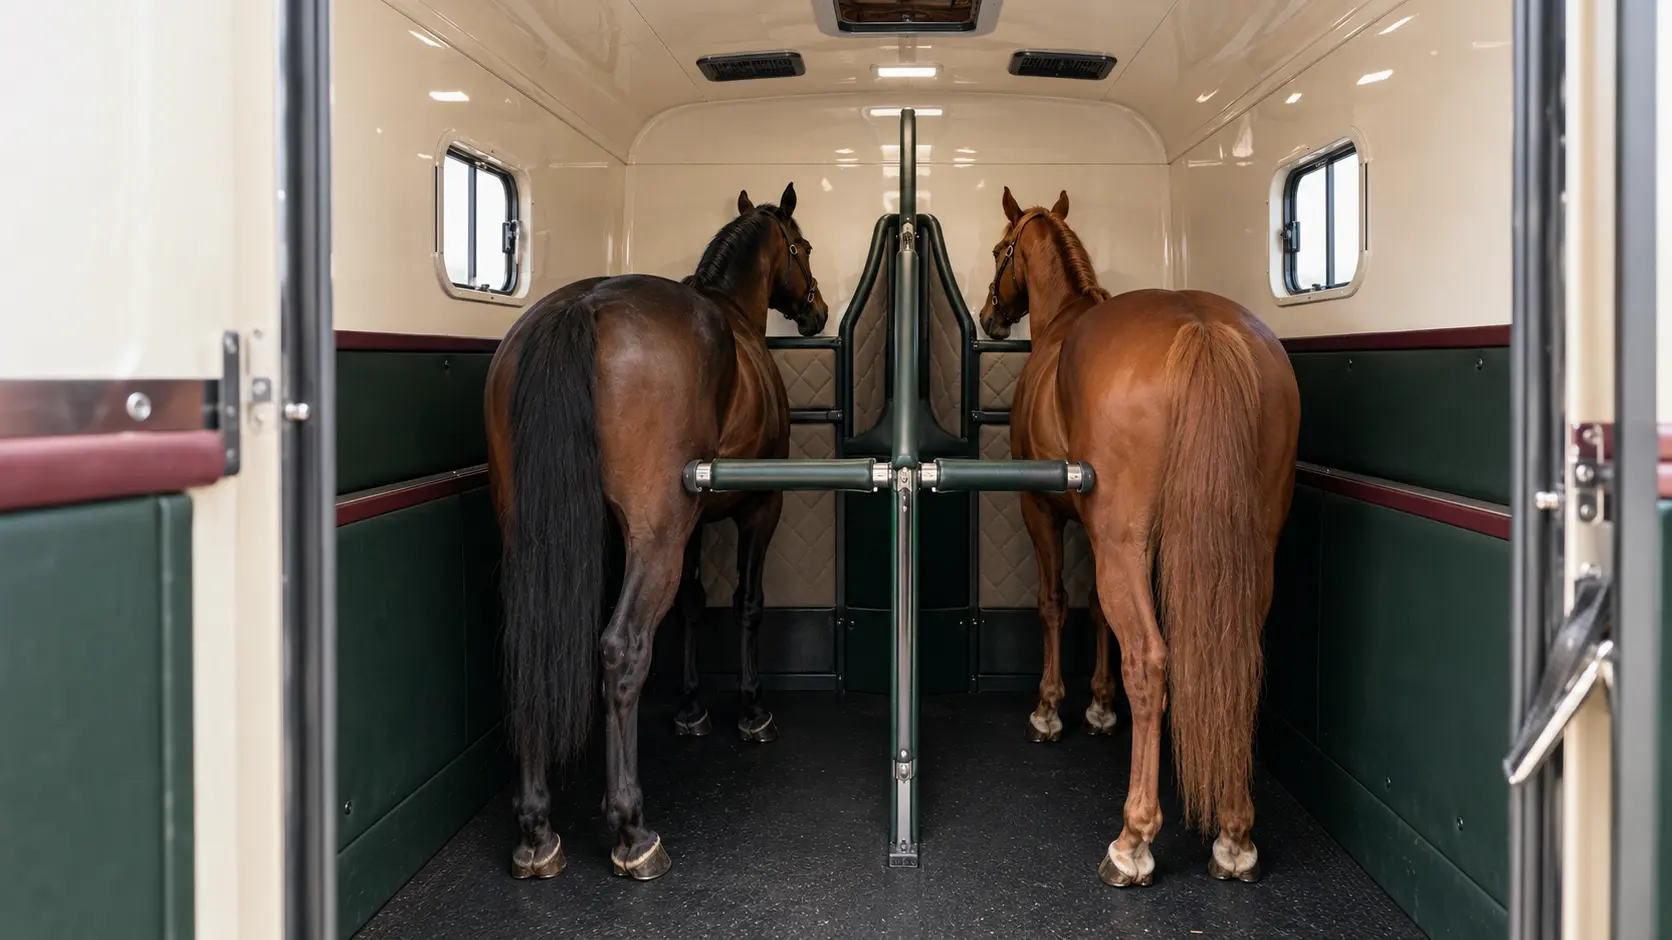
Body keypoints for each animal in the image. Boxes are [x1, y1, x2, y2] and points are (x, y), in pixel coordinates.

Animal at [484, 182, 829, 882]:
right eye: (802, 246)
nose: (817, 310)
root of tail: (580, 308)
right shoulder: (758, 509)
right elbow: (746, 605)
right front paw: (750, 711)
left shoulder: (695, 525)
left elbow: (694, 605)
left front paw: (693, 707)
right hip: (656, 536)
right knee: (622, 648)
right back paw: (631, 830)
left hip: (539, 536)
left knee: (530, 645)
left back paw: (536, 831)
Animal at [978, 187, 1300, 887]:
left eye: (999, 249)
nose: (991, 315)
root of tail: (1202, 329)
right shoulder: (1098, 535)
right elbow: (1097, 614)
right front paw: (1099, 707)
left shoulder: (1046, 514)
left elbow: (1055, 605)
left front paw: (1051, 710)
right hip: (1250, 551)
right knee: (1238, 660)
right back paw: (1235, 835)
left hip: (1123, 546)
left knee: (1151, 664)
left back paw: (1133, 840)